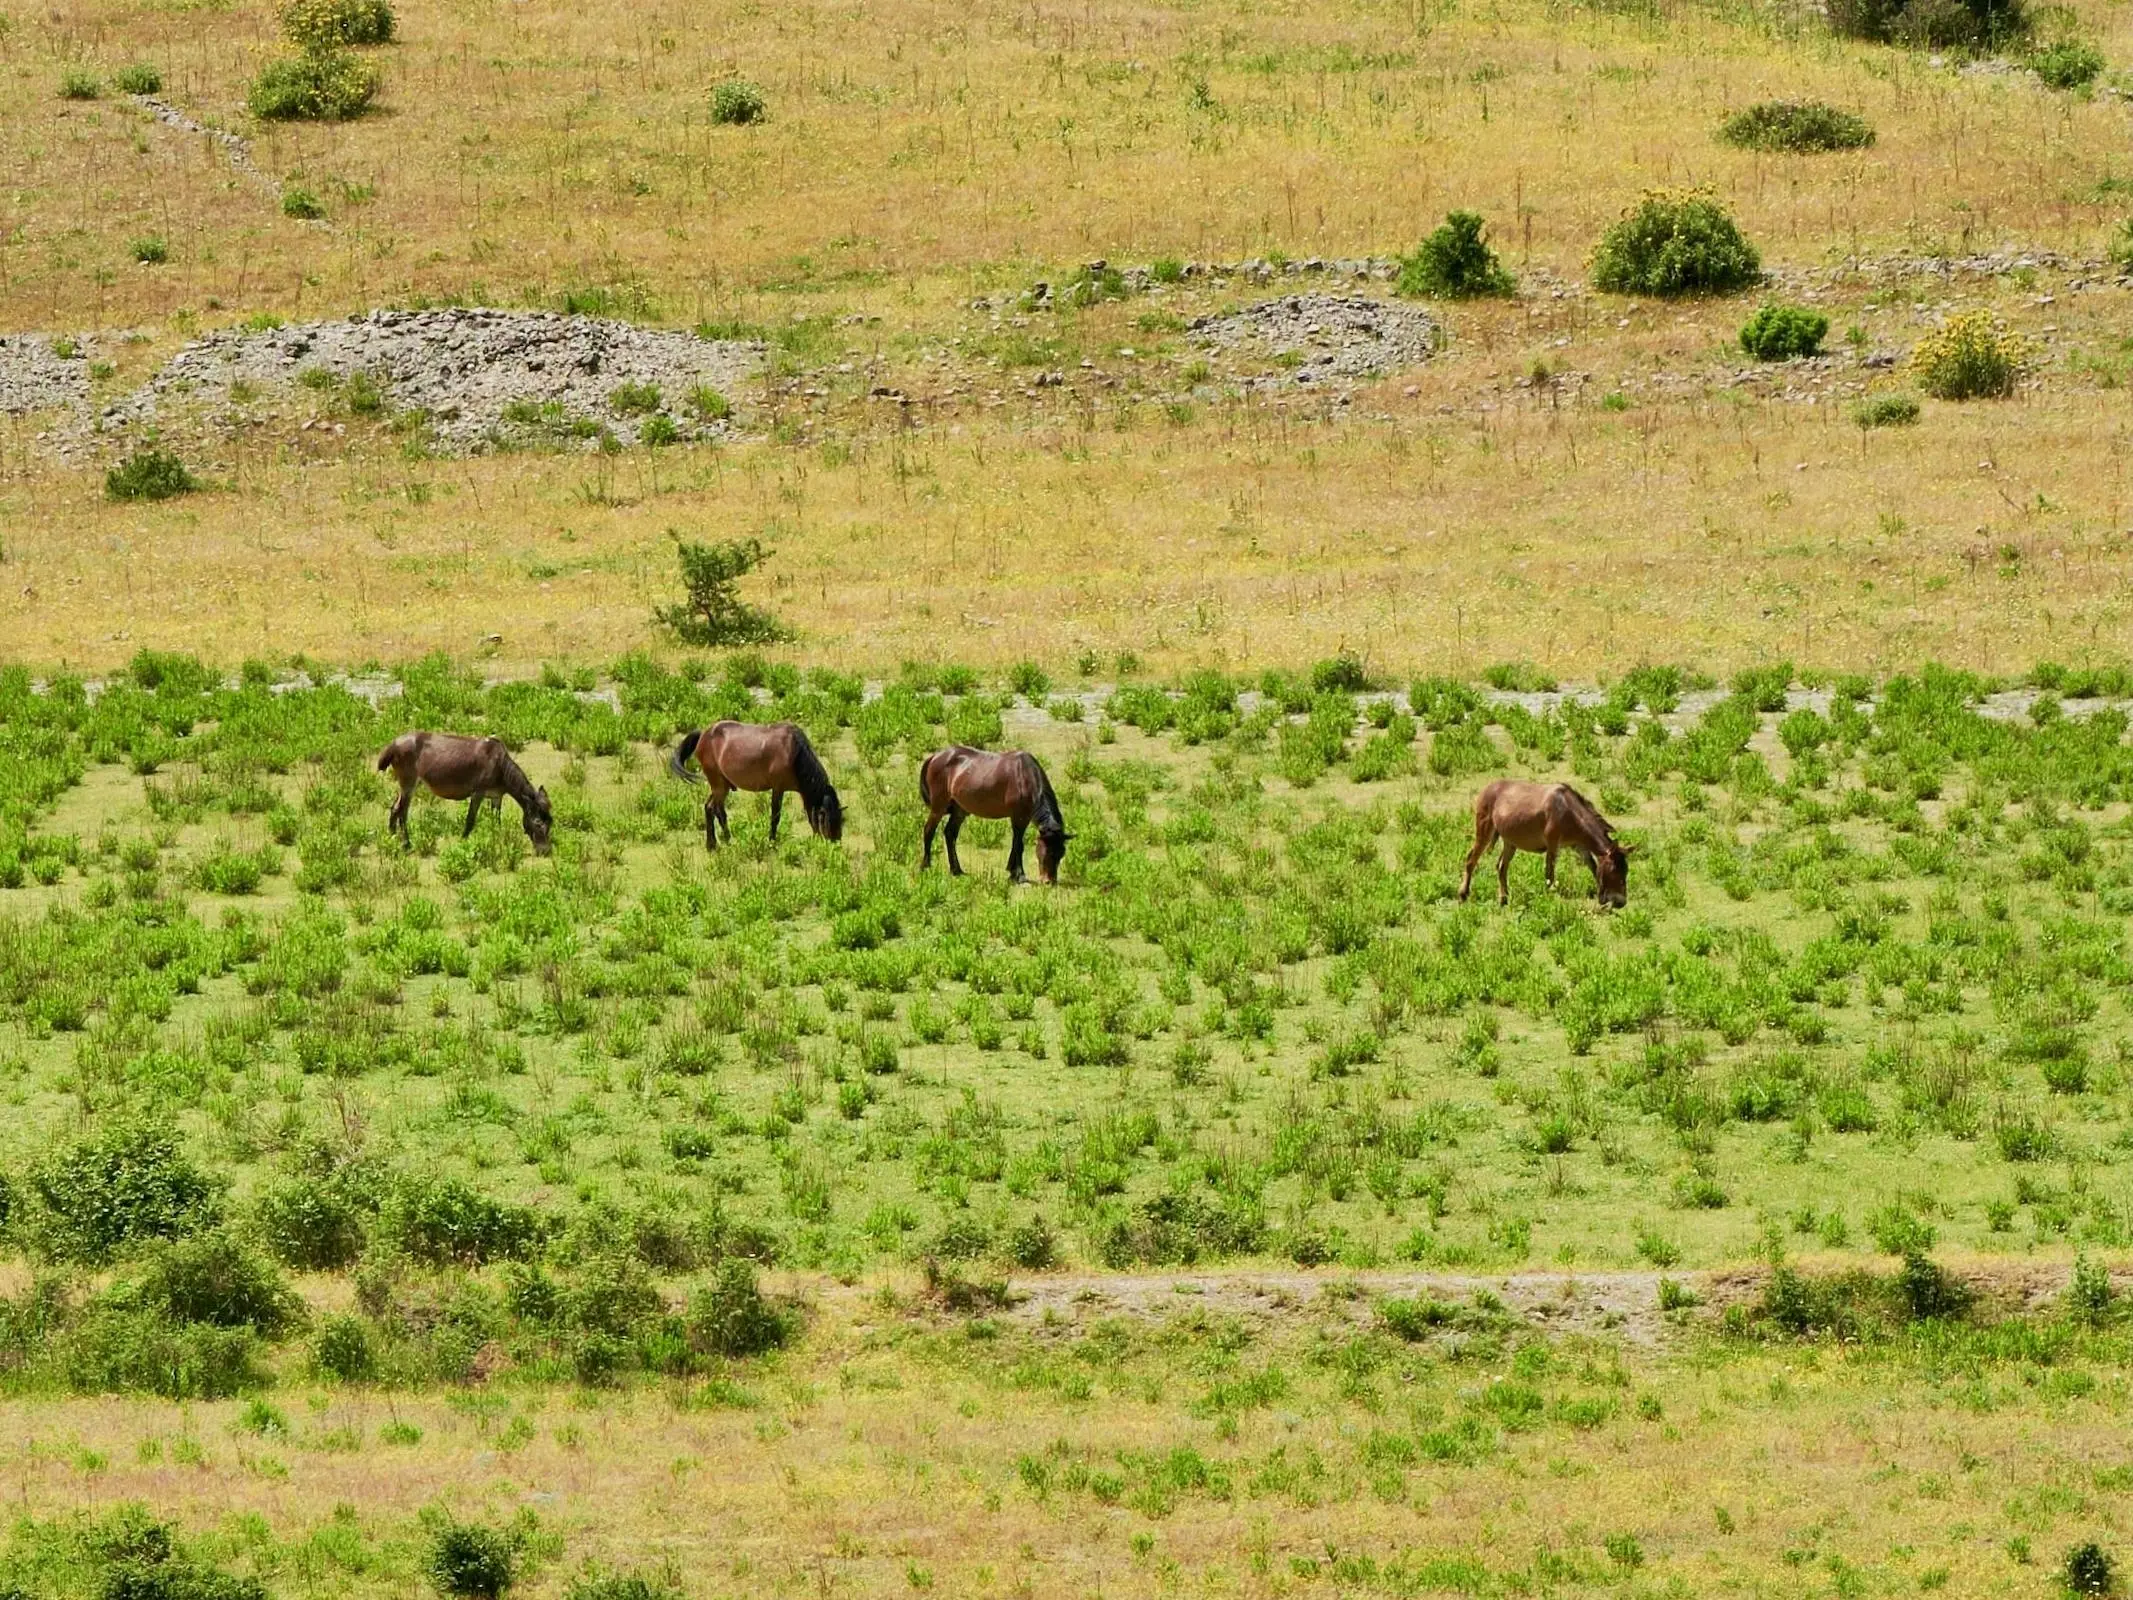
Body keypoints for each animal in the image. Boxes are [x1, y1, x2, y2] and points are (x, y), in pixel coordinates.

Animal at [379, 738, 554, 857]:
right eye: (538, 823)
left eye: (551, 822)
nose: (545, 851)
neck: (500, 766)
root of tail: (394, 744)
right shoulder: (478, 793)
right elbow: (470, 820)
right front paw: (463, 843)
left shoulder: (496, 797)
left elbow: (496, 822)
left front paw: (497, 841)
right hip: (409, 782)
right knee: (402, 811)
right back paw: (406, 844)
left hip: (406, 785)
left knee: (395, 808)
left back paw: (392, 838)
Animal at [665, 725, 840, 853]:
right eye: (826, 818)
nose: (835, 842)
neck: (794, 752)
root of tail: (704, 734)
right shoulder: (778, 788)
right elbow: (775, 816)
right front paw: (772, 842)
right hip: (718, 784)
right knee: (713, 809)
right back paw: (718, 843)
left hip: (722, 785)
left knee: (714, 809)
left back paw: (719, 842)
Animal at [921, 746, 1075, 883]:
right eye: (1048, 852)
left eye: (1061, 853)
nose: (1049, 881)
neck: (1025, 777)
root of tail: (935, 756)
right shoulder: (1018, 817)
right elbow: (1019, 845)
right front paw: (1019, 875)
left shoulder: (1023, 818)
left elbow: (1015, 843)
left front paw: (1011, 872)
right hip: (938, 808)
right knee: (929, 830)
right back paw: (926, 866)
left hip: (960, 811)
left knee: (950, 834)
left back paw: (956, 870)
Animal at [1450, 785, 1629, 908]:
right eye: (1614, 871)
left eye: (1626, 871)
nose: (1621, 902)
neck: (1568, 811)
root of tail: (1488, 787)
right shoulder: (1552, 845)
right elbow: (1550, 872)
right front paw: (1549, 897)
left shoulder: (1579, 846)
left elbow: (1592, 866)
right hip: (1484, 832)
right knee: (1471, 860)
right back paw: (1463, 894)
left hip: (1510, 842)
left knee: (1501, 866)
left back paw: (1503, 899)